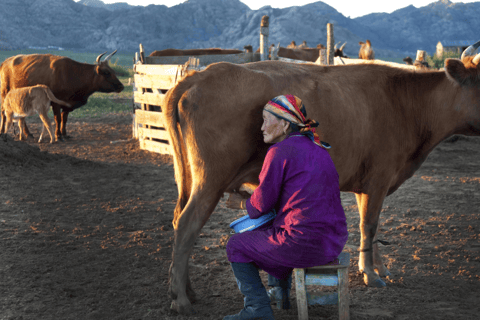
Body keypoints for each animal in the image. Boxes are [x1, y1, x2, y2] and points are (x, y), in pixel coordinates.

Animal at [162, 41, 480, 314]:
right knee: (187, 225)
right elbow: (369, 225)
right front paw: (371, 274)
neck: (405, 104)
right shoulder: (379, 177)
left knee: (178, 220)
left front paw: (379, 268)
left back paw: (187, 291)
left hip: (188, 177)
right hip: (210, 180)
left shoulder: (366, 184)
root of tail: (199, 75)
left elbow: (372, 226)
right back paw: (181, 300)